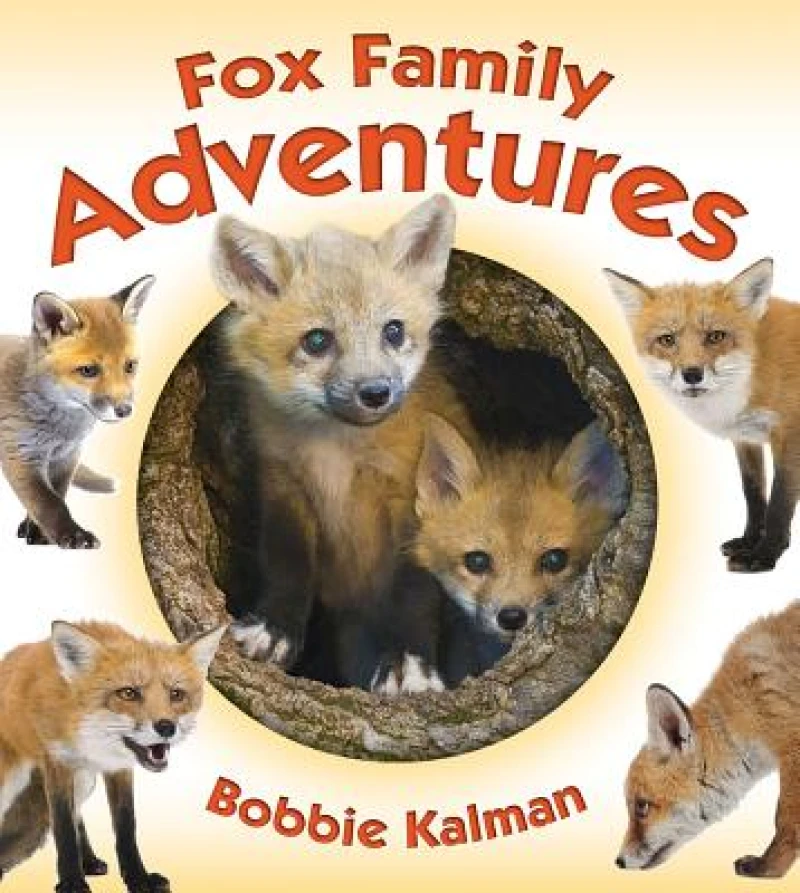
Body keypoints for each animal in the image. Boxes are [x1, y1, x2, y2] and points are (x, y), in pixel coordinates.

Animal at [0, 276, 154, 549]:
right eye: (88, 370)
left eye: (130, 366)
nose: (125, 410)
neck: (61, 429)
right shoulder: (19, 454)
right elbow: (49, 503)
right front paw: (73, 535)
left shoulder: (66, 456)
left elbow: (57, 495)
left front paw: (35, 531)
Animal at [0, 620, 226, 893]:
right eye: (128, 693)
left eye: (176, 694)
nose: (167, 727)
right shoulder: (57, 762)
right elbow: (63, 827)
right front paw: (73, 883)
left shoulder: (119, 768)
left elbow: (125, 827)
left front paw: (138, 879)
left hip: (83, 781)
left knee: (78, 815)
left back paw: (89, 860)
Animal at [211, 196, 471, 692]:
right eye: (317, 340)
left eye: (393, 331)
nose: (376, 392)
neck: (336, 451)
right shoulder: (284, 485)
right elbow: (288, 564)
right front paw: (275, 629)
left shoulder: (414, 500)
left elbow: (415, 593)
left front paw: (410, 664)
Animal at [604, 258, 800, 573]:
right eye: (667, 340)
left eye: (715, 336)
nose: (692, 374)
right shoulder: (745, 438)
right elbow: (753, 494)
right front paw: (748, 541)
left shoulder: (789, 434)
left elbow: (779, 503)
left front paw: (764, 555)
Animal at [617, 600, 800, 878]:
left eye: (642, 806)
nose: (619, 861)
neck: (745, 707)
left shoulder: (792, 745)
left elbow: (785, 821)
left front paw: (769, 868)